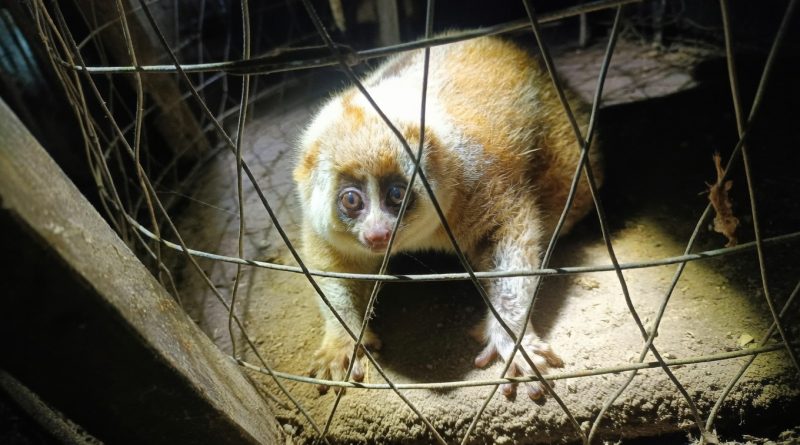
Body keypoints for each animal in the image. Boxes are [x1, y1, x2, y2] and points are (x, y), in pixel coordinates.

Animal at [292, 35, 601, 400]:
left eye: (397, 194)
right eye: (351, 200)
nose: (378, 234)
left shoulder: (478, 181)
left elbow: (509, 236)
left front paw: (511, 340)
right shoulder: (317, 222)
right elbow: (330, 265)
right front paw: (341, 344)